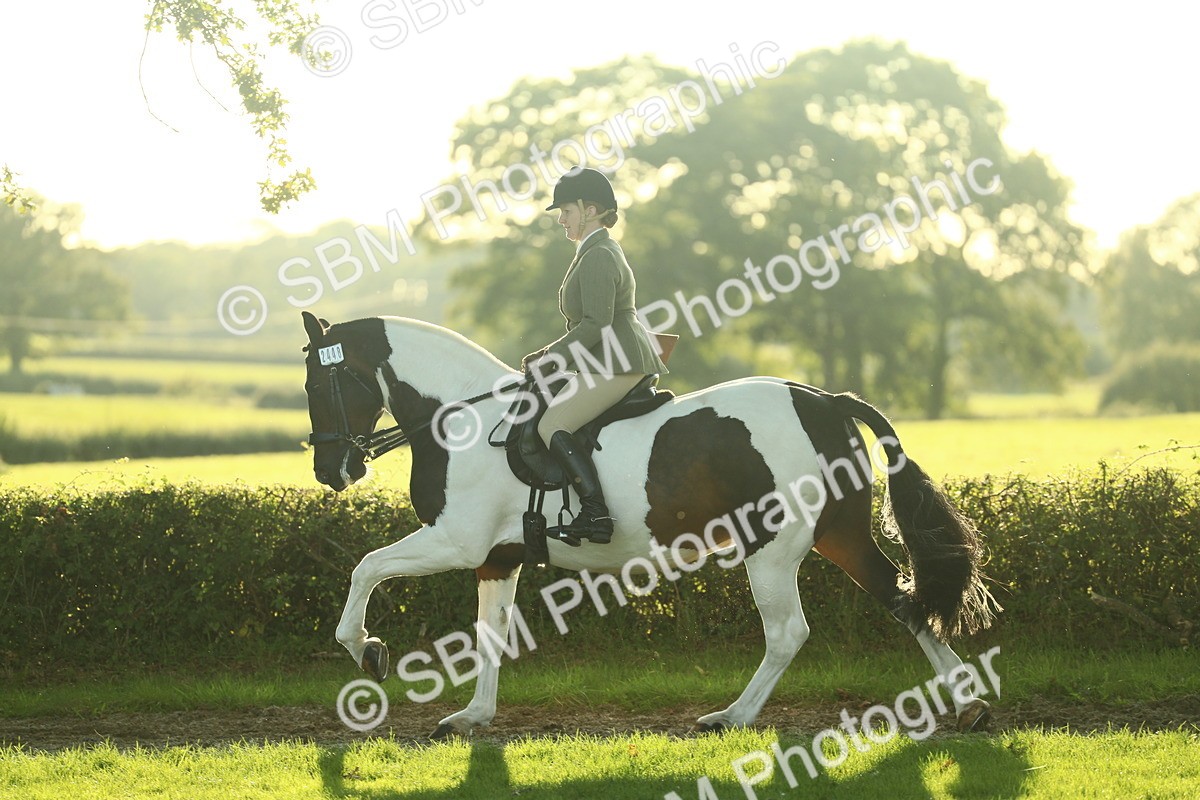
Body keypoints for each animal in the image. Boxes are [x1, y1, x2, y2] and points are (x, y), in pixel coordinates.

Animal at [301, 310, 999, 738]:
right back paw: (969, 706)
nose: (332, 471)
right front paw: (473, 717)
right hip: (840, 534)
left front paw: (367, 650)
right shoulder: (497, 556)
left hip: (773, 545)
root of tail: (824, 400)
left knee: (788, 632)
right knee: (902, 600)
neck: (462, 420)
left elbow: (366, 568)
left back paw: (731, 717)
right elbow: (490, 634)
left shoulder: (457, 541)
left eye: (318, 383)